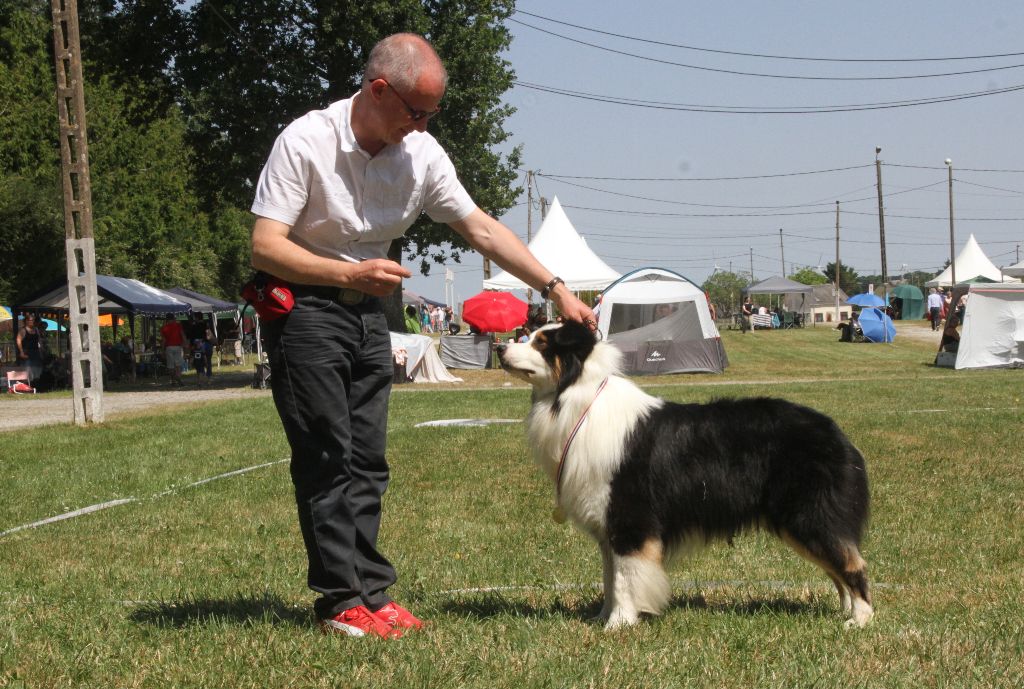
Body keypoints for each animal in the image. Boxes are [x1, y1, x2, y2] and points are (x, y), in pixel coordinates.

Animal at [495, 323, 872, 630]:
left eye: (542, 343)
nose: (499, 347)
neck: (577, 399)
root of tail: (836, 432)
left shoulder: (629, 519)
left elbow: (624, 578)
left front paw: (618, 625)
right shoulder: (607, 525)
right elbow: (609, 576)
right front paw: (603, 616)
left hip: (809, 514)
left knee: (853, 564)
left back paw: (860, 619)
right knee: (838, 566)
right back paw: (845, 612)